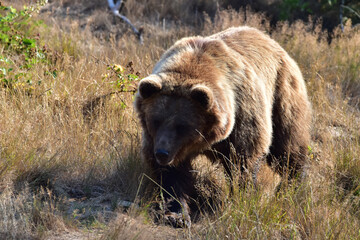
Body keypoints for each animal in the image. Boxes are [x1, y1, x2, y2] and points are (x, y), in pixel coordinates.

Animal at [135, 26, 312, 227]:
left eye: (182, 125)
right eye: (155, 120)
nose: (162, 153)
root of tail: (271, 40)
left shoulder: (242, 117)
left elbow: (242, 161)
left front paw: (241, 199)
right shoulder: (157, 139)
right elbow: (173, 175)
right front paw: (176, 214)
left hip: (281, 93)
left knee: (288, 147)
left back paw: (291, 185)